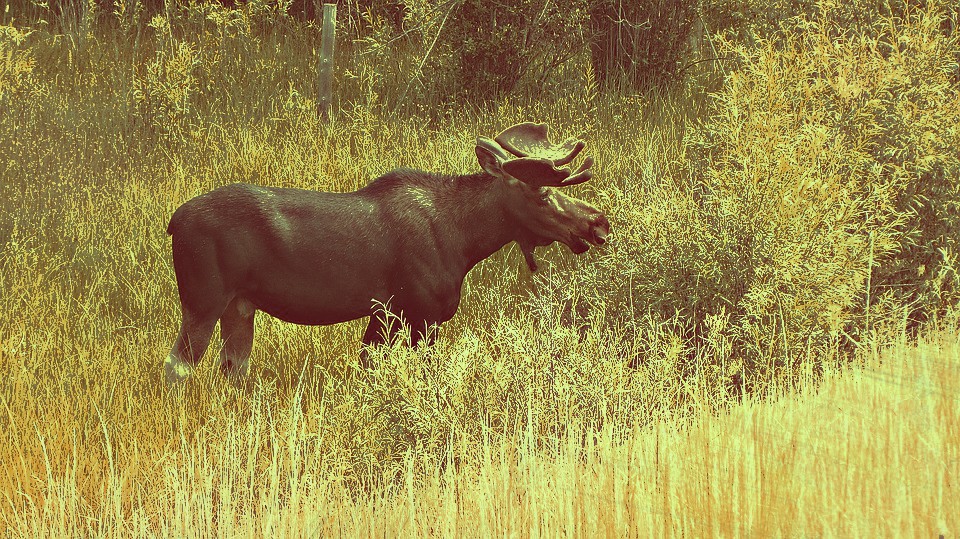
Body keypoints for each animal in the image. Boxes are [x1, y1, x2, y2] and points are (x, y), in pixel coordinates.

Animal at [164, 122, 608, 384]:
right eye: (542, 193)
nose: (598, 223)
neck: (465, 243)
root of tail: (172, 221)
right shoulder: (422, 314)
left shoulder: (384, 314)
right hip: (202, 300)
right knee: (178, 367)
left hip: (239, 306)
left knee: (232, 368)